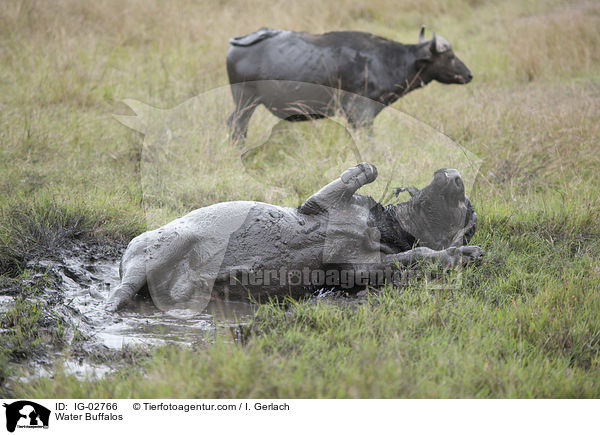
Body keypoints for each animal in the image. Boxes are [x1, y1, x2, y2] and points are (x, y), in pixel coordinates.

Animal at [106, 164, 482, 314]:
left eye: (467, 209)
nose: (455, 174)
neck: (384, 227)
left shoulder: (360, 269)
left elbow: (418, 254)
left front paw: (466, 253)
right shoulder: (321, 202)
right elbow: (351, 179)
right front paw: (367, 168)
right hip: (161, 247)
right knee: (124, 286)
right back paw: (112, 306)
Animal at [226, 26, 474, 141]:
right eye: (450, 57)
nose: (469, 74)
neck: (386, 60)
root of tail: (241, 41)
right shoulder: (361, 112)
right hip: (246, 101)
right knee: (238, 127)